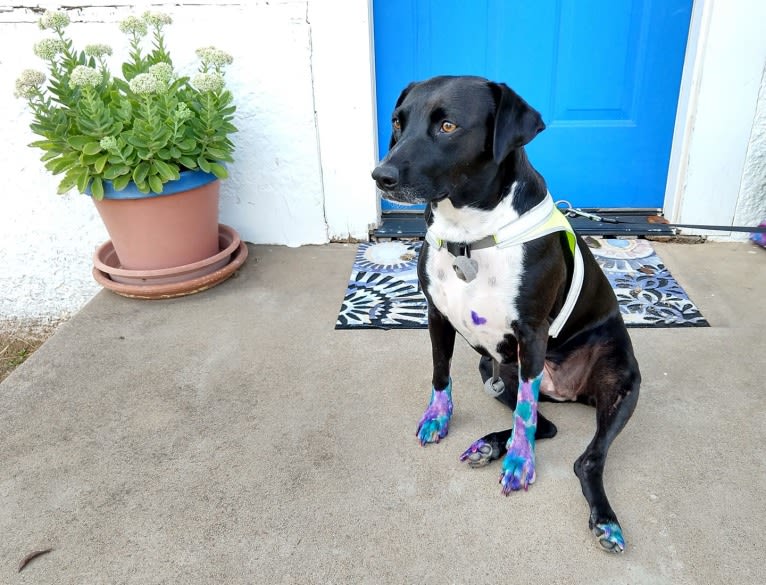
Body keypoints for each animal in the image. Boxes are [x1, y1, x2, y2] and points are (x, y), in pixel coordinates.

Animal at [372, 76, 640, 552]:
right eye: (398, 122)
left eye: (447, 125)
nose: (381, 175)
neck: (469, 235)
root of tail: (568, 391)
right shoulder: (436, 315)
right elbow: (440, 374)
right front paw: (438, 419)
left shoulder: (531, 334)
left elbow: (524, 415)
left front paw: (519, 464)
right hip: (492, 370)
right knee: (545, 425)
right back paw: (487, 445)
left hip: (623, 384)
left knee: (584, 456)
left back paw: (604, 519)